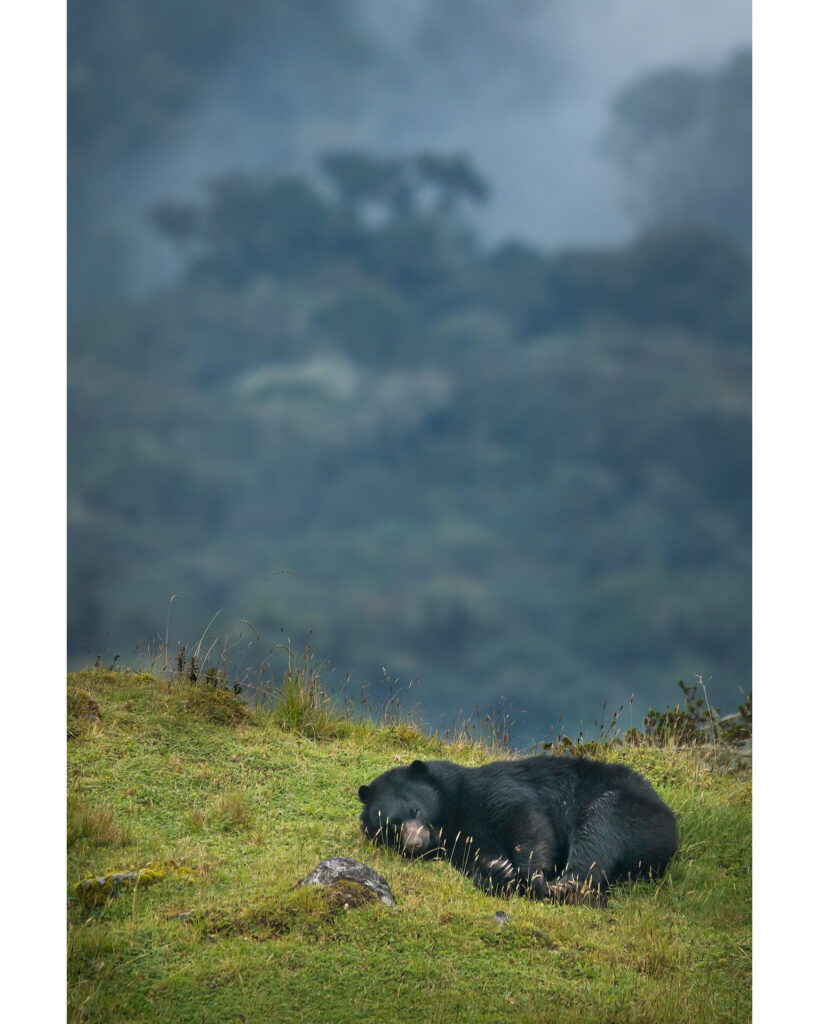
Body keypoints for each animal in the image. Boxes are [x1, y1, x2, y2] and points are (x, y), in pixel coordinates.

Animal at [357, 755, 678, 906]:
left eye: (416, 811)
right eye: (391, 825)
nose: (414, 842)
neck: (454, 814)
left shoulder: (492, 790)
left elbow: (525, 819)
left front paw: (530, 875)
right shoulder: (459, 843)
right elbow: (474, 861)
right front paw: (500, 870)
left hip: (634, 813)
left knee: (598, 831)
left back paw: (567, 886)